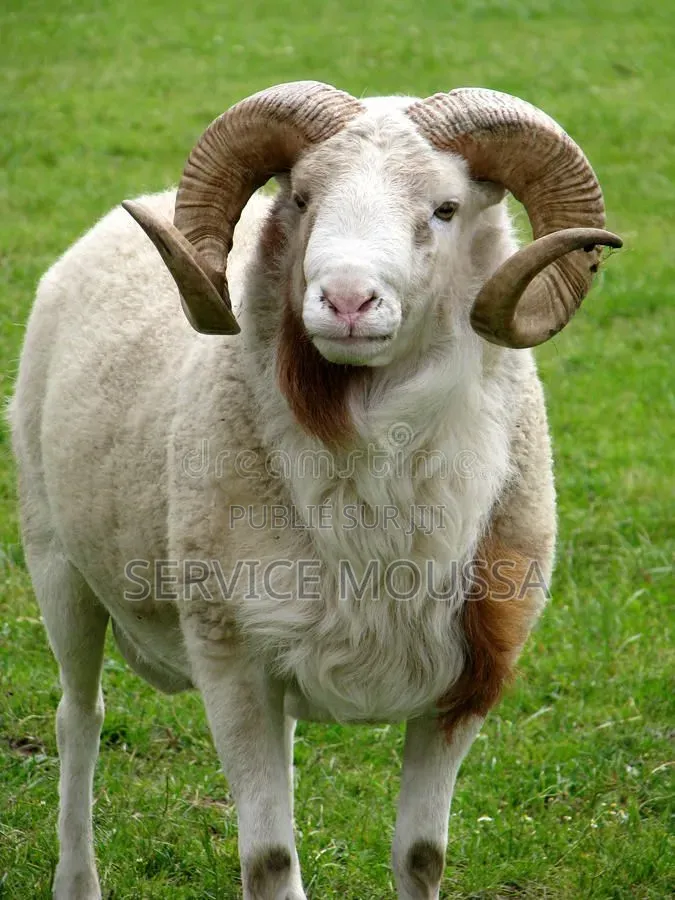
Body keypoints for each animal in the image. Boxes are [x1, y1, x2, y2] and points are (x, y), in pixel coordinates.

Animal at [9, 80, 621, 900]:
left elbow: (421, 856)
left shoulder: (465, 682)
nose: (347, 301)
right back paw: (76, 878)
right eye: (300, 198)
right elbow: (269, 861)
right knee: (79, 717)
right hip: (57, 565)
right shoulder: (230, 663)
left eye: (446, 209)